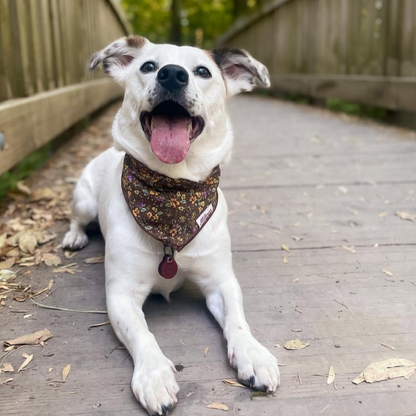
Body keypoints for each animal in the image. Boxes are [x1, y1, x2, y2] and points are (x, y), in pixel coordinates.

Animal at [63, 35, 280, 416]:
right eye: (148, 66)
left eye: (203, 71)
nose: (172, 75)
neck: (172, 191)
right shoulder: (121, 295)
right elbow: (142, 334)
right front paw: (154, 374)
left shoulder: (221, 281)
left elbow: (237, 319)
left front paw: (252, 353)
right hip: (85, 201)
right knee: (76, 218)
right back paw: (74, 236)